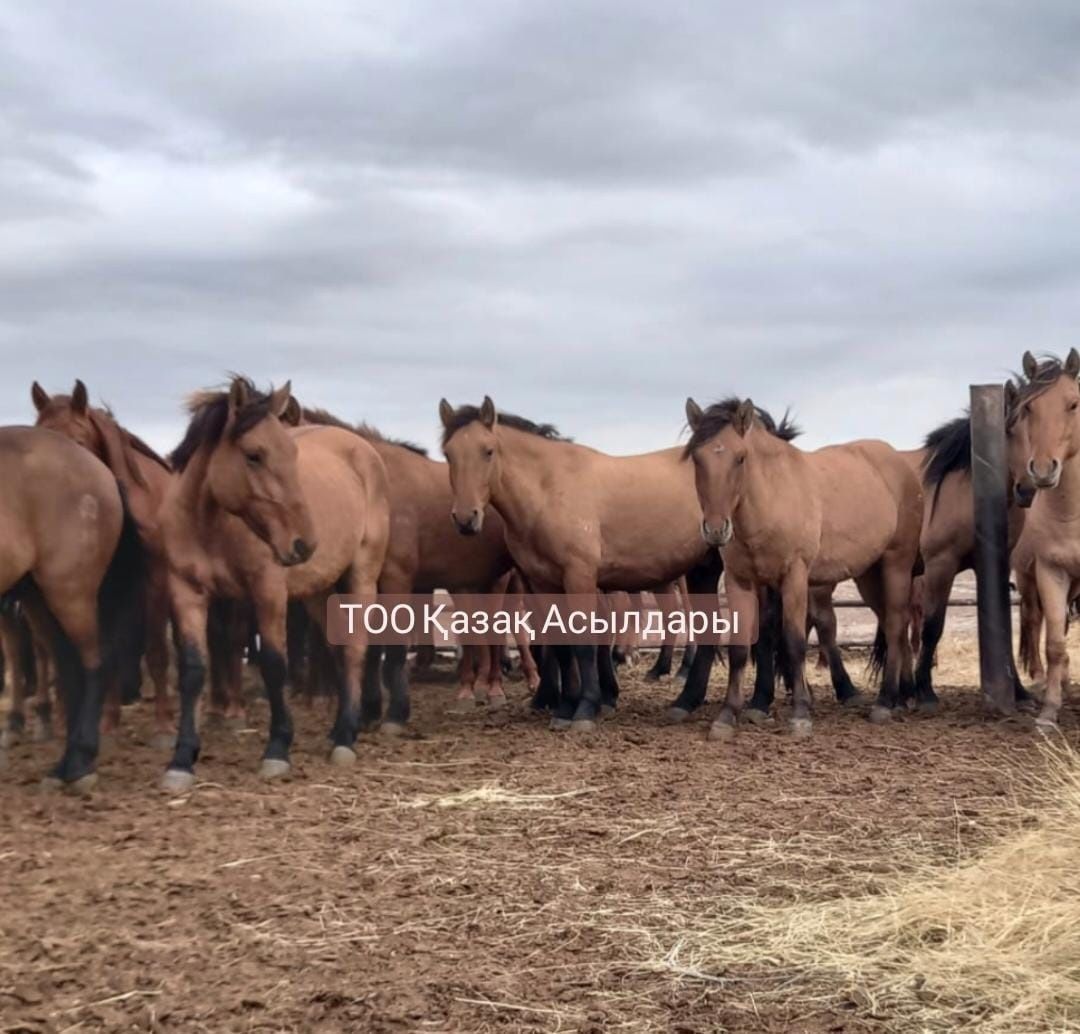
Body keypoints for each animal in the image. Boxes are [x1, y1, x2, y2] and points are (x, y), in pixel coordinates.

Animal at [0, 423, 145, 786]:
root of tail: (100, 471)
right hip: (39, 599)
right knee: (69, 667)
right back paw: (66, 763)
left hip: (70, 592)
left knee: (93, 663)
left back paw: (79, 762)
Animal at [32, 380, 177, 743]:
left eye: (79, 442)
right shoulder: (100, 589)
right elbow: (106, 651)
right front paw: (109, 722)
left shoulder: (156, 580)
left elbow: (157, 649)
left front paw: (164, 725)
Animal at [157, 380, 390, 790]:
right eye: (254, 455)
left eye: (292, 453)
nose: (304, 544)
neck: (209, 524)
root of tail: (362, 449)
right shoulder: (186, 592)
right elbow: (193, 671)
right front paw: (182, 760)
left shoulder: (268, 592)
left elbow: (273, 664)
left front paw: (277, 749)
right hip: (318, 592)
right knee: (337, 647)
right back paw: (338, 730)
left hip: (361, 576)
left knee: (354, 650)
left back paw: (346, 738)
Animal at [686, 391, 924, 739]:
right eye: (697, 459)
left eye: (740, 458)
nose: (716, 530)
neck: (771, 498)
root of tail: (899, 465)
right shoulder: (739, 580)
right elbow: (741, 648)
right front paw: (727, 716)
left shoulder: (795, 577)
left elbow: (795, 642)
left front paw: (800, 715)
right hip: (869, 574)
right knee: (895, 624)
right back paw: (901, 697)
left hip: (897, 563)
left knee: (894, 624)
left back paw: (884, 702)